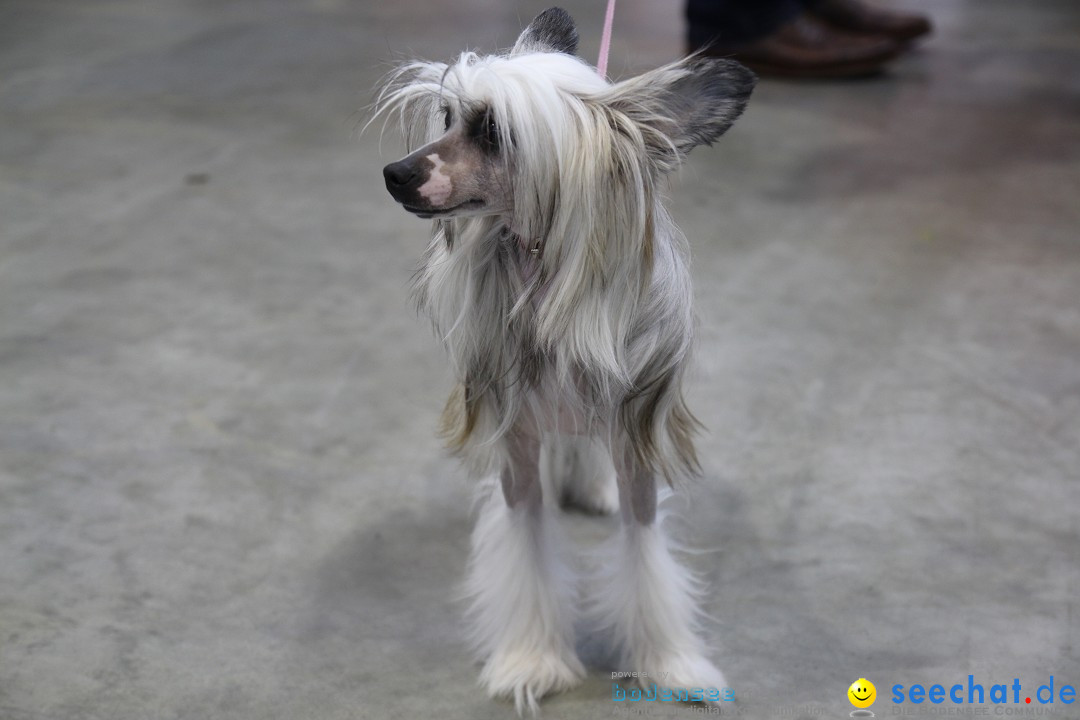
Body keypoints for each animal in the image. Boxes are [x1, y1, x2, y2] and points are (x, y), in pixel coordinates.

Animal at [375, 7, 756, 716]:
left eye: (493, 132)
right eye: (448, 116)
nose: (394, 173)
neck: (548, 284)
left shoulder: (634, 444)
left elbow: (644, 552)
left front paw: (671, 663)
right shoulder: (519, 444)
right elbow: (527, 544)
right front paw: (533, 659)